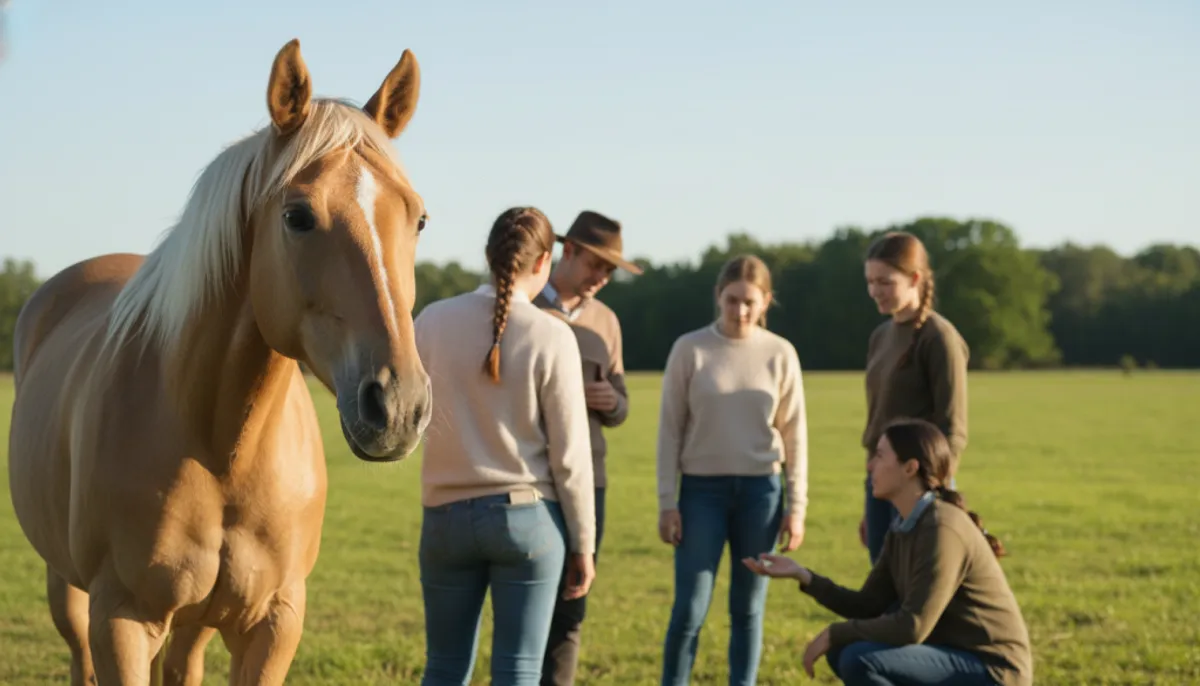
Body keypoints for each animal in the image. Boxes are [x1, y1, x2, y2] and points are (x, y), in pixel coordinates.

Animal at [6, 38, 433, 685]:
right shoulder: (121, 621)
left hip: (197, 619)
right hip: (69, 589)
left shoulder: (273, 623)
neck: (221, 446)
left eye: (418, 218)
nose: (399, 405)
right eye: (297, 216)